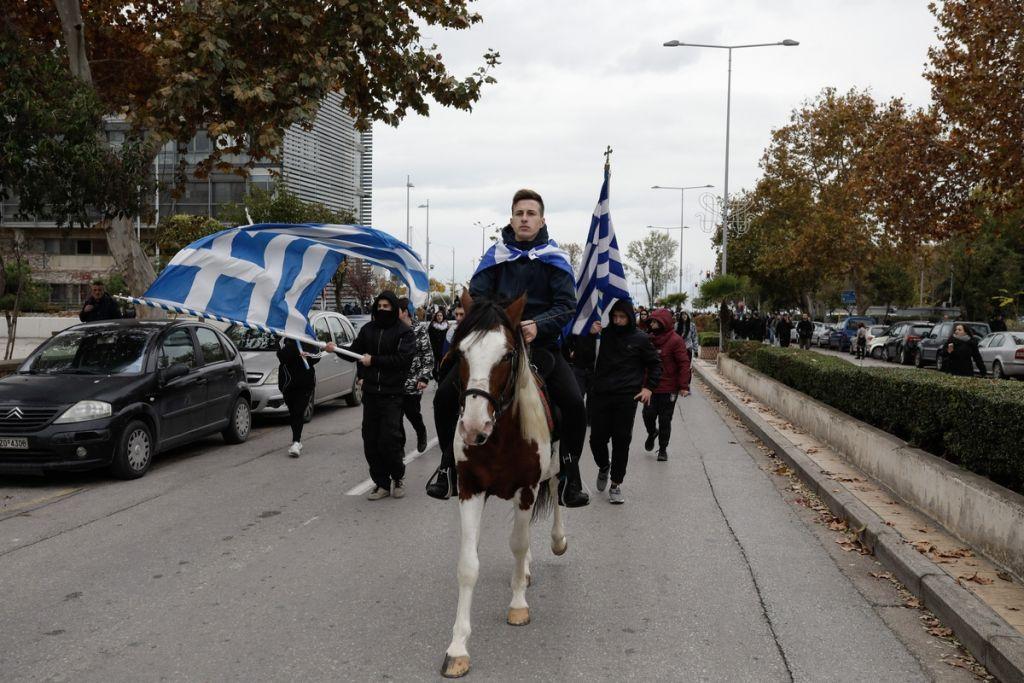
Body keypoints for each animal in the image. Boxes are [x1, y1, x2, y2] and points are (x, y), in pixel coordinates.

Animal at [440, 292, 569, 679]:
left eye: (507, 354)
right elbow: (468, 565)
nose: (473, 427)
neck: (497, 436)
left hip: (552, 469)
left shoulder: (527, 488)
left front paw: (517, 605)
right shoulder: (469, 489)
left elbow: (519, 543)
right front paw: (458, 648)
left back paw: (557, 541)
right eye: (460, 352)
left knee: (556, 491)